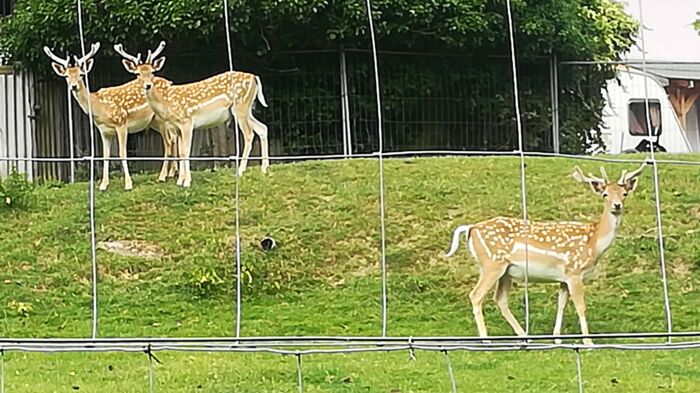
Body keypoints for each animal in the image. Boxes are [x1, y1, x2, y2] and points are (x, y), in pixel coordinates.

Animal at [42, 43, 179, 190]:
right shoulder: (104, 131)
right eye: (67, 76)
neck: (100, 107)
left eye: (81, 74)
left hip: (161, 118)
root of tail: (170, 82)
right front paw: (103, 185)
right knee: (173, 138)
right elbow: (105, 156)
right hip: (153, 122)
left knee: (168, 142)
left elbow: (122, 153)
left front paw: (128, 184)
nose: (73, 86)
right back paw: (172, 172)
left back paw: (163, 176)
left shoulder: (121, 123)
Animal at [113, 40, 270, 188]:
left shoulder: (186, 121)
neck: (167, 103)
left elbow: (186, 151)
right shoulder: (177, 127)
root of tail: (254, 77)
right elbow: (181, 151)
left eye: (152, 72)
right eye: (138, 74)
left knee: (249, 134)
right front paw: (180, 181)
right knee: (262, 128)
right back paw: (264, 168)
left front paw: (187, 182)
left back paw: (241, 170)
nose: (147, 85)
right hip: (246, 109)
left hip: (240, 106)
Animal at [446, 162, 648, 344]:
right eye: (605, 194)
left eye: (624, 193)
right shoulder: (574, 271)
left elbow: (561, 304)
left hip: (506, 271)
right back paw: (486, 339)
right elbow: (581, 306)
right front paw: (588, 343)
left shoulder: (564, 278)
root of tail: (471, 228)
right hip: (491, 263)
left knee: (500, 300)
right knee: (476, 295)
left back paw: (524, 337)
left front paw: (557, 338)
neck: (593, 243)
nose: (617, 205)